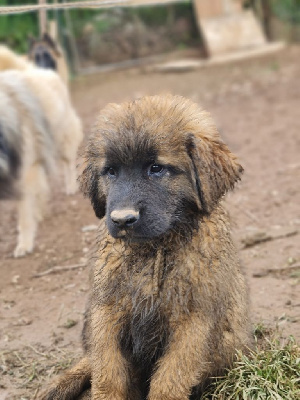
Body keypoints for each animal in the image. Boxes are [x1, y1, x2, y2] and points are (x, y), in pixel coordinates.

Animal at [39, 94, 251, 400]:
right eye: (111, 171)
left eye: (156, 168)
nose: (122, 219)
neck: (154, 251)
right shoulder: (107, 310)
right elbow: (106, 372)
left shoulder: (194, 320)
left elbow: (170, 378)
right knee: (89, 360)